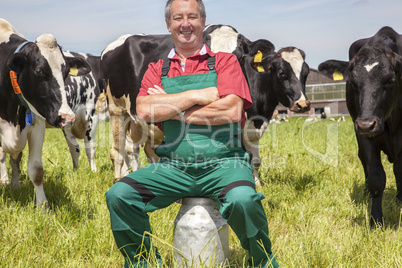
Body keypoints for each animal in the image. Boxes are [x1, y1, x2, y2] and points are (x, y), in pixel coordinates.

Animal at [0, 18, 89, 206]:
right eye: (39, 71)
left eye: (65, 72)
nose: (67, 116)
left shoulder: (37, 124)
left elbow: (36, 170)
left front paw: (43, 205)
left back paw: (15, 186)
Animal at [318, 25, 402, 226]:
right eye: (353, 83)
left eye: (390, 80)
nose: (366, 124)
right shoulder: (364, 137)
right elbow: (376, 178)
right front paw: (375, 220)